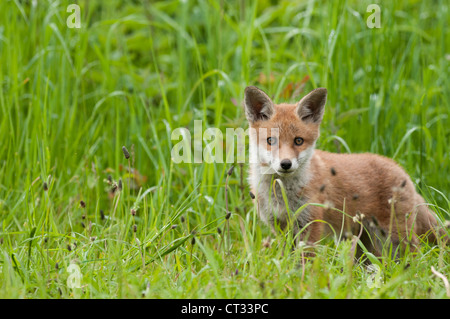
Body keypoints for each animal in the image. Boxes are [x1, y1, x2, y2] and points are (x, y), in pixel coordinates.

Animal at [246, 85, 446, 258]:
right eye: (271, 140)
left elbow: (306, 260)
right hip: (366, 243)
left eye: (298, 141)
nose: (286, 164)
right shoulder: (279, 226)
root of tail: (402, 170)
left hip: (395, 237)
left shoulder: (310, 222)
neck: (281, 193)